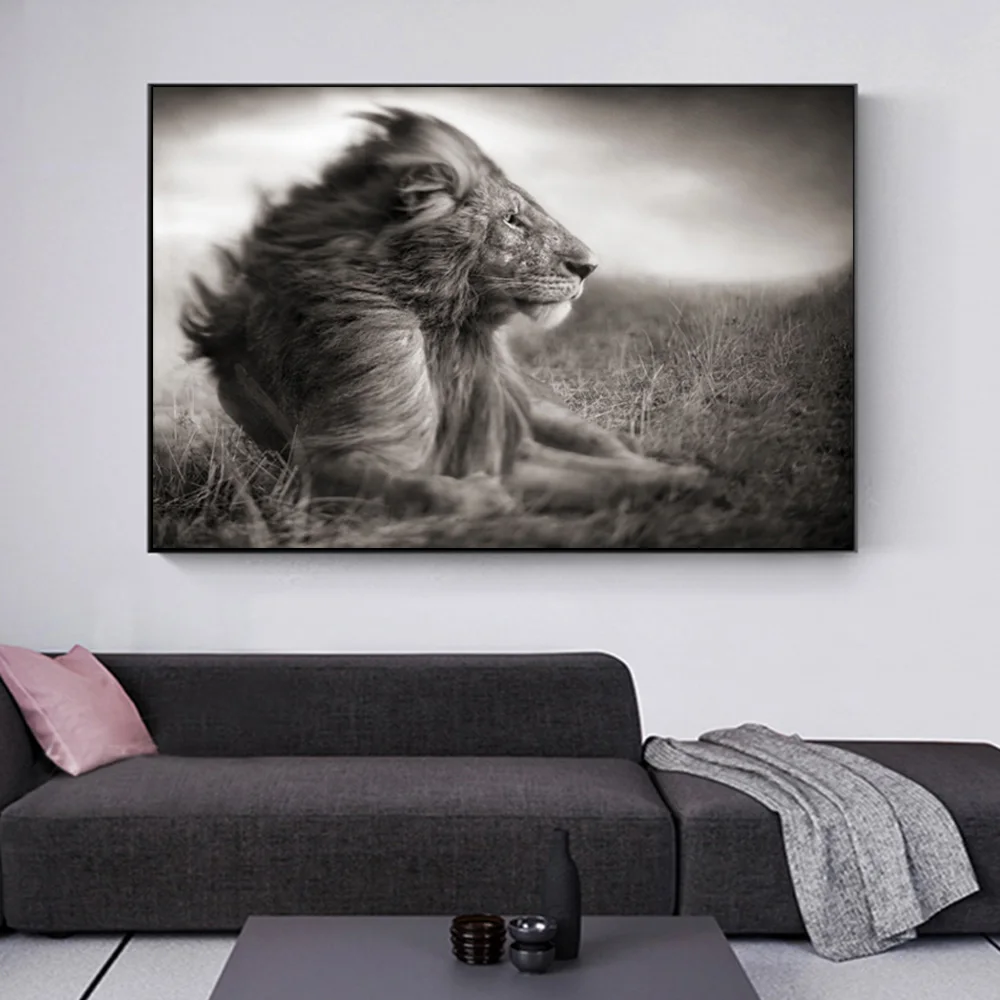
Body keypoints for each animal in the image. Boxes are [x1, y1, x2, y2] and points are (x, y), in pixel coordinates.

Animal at [181, 106, 707, 517]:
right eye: (512, 220)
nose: (589, 266)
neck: (446, 330)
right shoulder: (329, 462)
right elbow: (420, 490)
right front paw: (482, 498)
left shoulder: (504, 444)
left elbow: (610, 474)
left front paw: (686, 477)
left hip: (538, 407)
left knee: (600, 440)